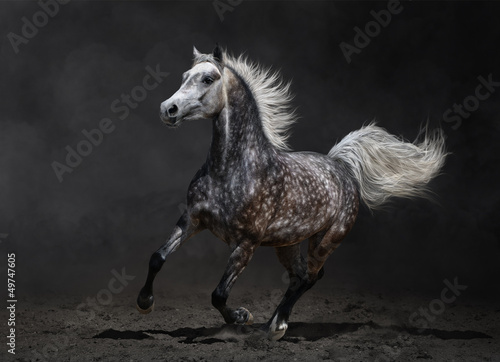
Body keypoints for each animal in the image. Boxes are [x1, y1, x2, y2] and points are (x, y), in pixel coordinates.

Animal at [136, 44, 446, 340]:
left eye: (208, 79)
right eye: (184, 76)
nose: (168, 109)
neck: (230, 171)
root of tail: (340, 166)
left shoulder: (246, 243)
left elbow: (219, 295)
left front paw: (242, 317)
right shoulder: (192, 220)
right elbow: (157, 257)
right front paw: (144, 303)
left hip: (326, 240)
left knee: (310, 277)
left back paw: (275, 327)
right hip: (288, 243)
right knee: (298, 277)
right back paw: (274, 324)